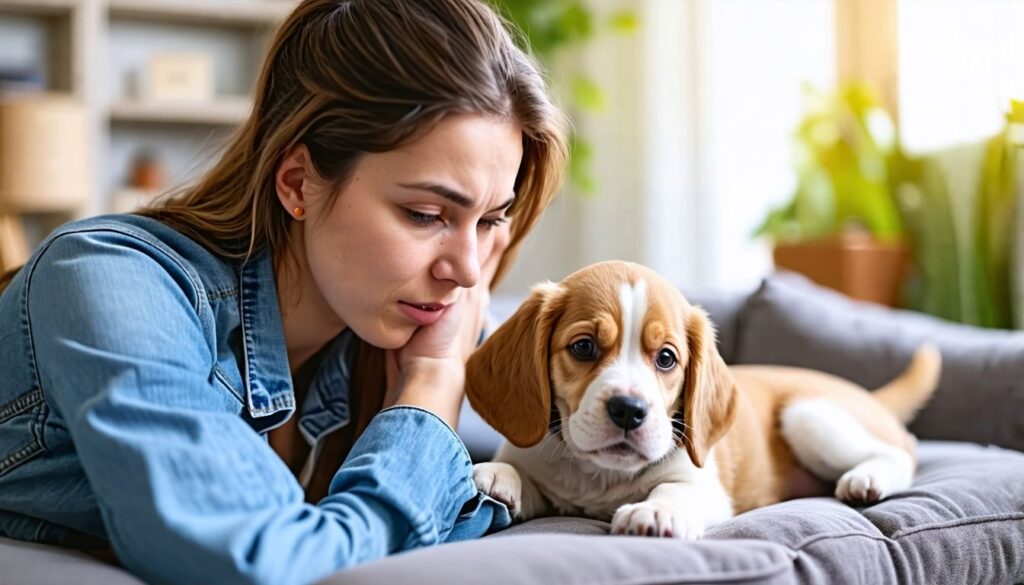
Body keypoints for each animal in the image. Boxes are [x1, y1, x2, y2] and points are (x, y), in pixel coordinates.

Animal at [468, 262, 937, 540]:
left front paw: (654, 513)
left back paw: (867, 478)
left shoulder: (703, 488)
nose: (629, 411)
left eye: (666, 358)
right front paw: (496, 476)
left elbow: (672, 491)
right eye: (583, 347)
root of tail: (867, 395)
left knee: (901, 452)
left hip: (807, 415)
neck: (601, 477)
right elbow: (522, 475)